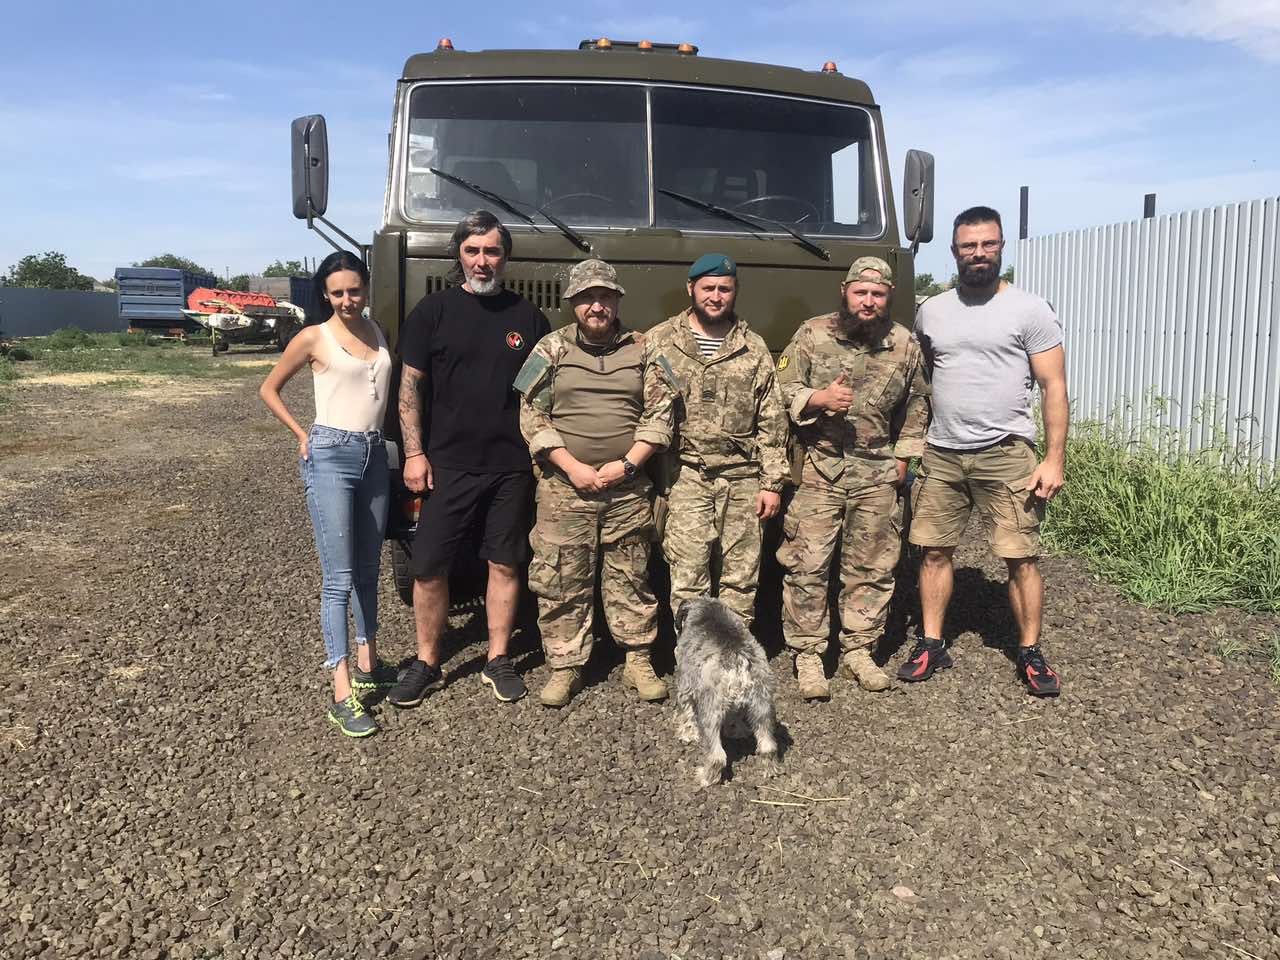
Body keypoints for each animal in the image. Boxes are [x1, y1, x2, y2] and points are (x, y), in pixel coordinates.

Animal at [670, 601, 778, 788]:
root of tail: (739, 661)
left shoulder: (685, 685)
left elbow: (687, 715)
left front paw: (687, 736)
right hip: (762, 706)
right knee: (768, 747)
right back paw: (769, 771)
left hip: (709, 712)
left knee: (717, 757)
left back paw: (704, 778)